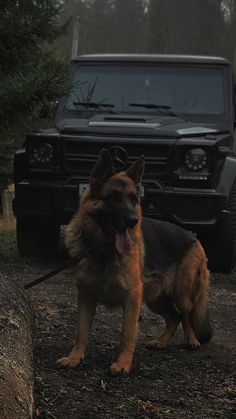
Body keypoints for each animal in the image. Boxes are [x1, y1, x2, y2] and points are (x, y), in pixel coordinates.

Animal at [57, 150, 212, 374]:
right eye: (113, 198)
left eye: (133, 199)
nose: (133, 220)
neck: (103, 250)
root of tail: (194, 237)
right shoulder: (86, 297)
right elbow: (82, 331)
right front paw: (75, 357)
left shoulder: (131, 298)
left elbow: (127, 333)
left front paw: (123, 363)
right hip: (156, 299)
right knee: (173, 317)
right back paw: (160, 342)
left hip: (181, 294)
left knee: (186, 315)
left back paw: (191, 340)